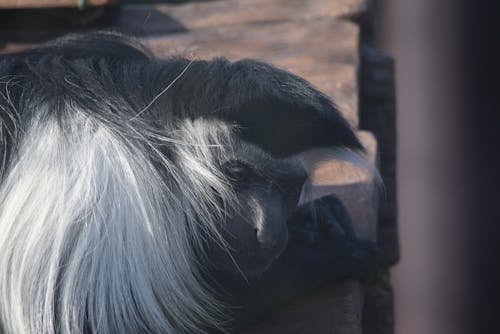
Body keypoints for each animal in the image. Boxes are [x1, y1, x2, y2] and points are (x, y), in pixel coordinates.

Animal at [0, 32, 378, 334]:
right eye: (237, 174)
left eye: (290, 189)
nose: (269, 233)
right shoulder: (105, 199)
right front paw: (327, 252)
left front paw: (319, 216)